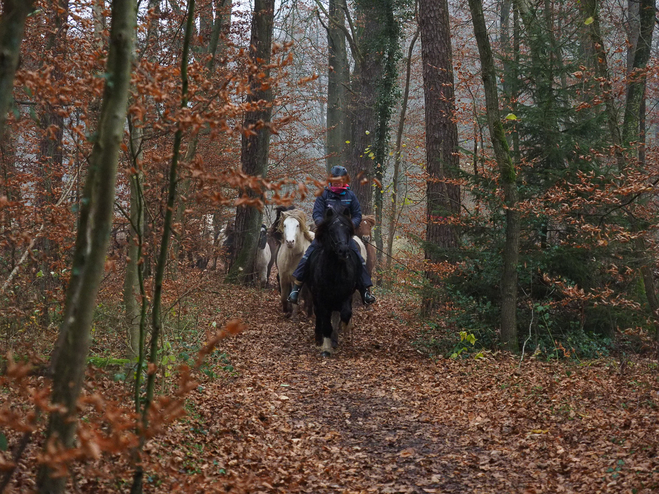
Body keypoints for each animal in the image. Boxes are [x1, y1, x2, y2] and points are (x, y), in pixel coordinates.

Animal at [306, 204, 360, 356]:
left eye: (347, 230)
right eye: (331, 230)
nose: (343, 251)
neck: (335, 273)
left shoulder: (346, 295)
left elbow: (345, 314)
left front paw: (345, 328)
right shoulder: (321, 299)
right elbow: (325, 322)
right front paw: (326, 348)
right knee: (319, 315)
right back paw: (319, 338)